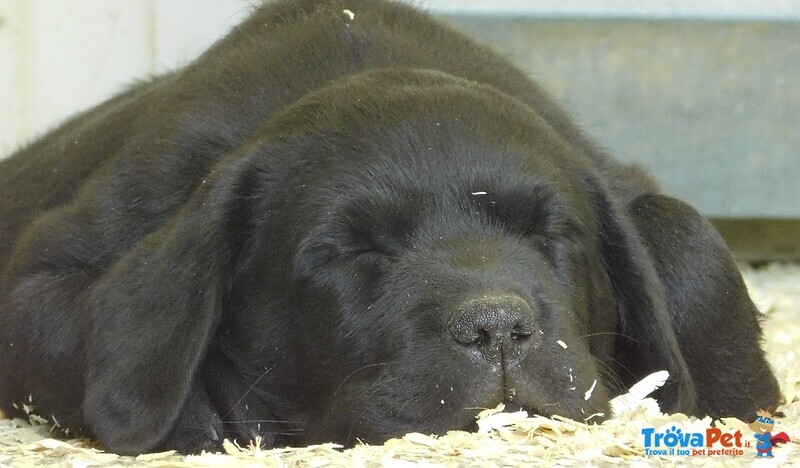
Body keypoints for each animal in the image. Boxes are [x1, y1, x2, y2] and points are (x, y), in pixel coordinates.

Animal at [0, 0, 780, 456]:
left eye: (548, 233)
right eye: (353, 251)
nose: (496, 326)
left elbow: (684, 236)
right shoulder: (46, 275)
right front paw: (209, 411)